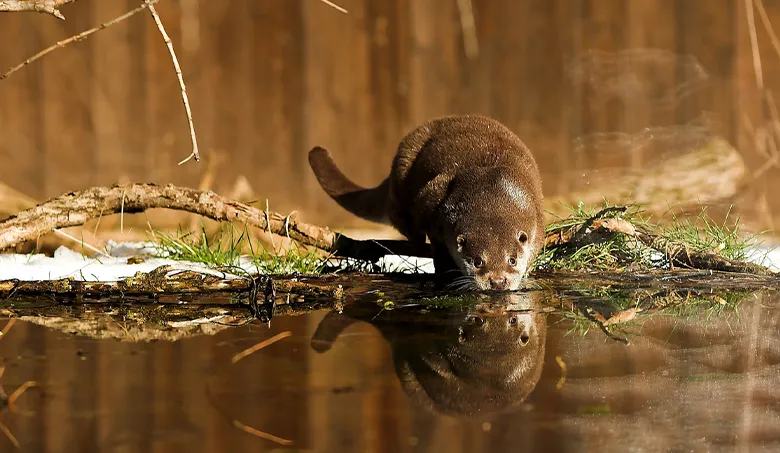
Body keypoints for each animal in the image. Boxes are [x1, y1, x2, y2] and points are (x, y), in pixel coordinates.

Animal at [308, 113, 544, 290]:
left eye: (512, 260)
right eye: (478, 261)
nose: (498, 281)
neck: (489, 190)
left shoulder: (537, 218)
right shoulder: (432, 198)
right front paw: (444, 268)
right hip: (402, 171)